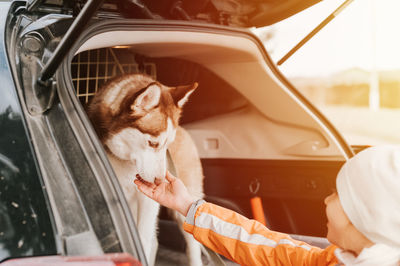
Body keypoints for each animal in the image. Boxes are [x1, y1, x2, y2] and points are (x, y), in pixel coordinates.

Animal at [87, 73, 203, 266]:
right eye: (153, 143)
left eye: (168, 145)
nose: (160, 181)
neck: (125, 162)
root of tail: (185, 132)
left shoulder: (148, 202)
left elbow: (143, 239)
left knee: (191, 243)